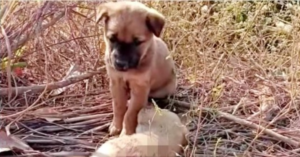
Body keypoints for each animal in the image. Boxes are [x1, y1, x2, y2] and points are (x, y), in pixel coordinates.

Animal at [95, 1, 176, 136]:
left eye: (137, 42)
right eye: (112, 39)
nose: (120, 63)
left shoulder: (140, 88)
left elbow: (130, 113)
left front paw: (127, 132)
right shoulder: (116, 82)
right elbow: (118, 106)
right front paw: (116, 126)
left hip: (164, 90)